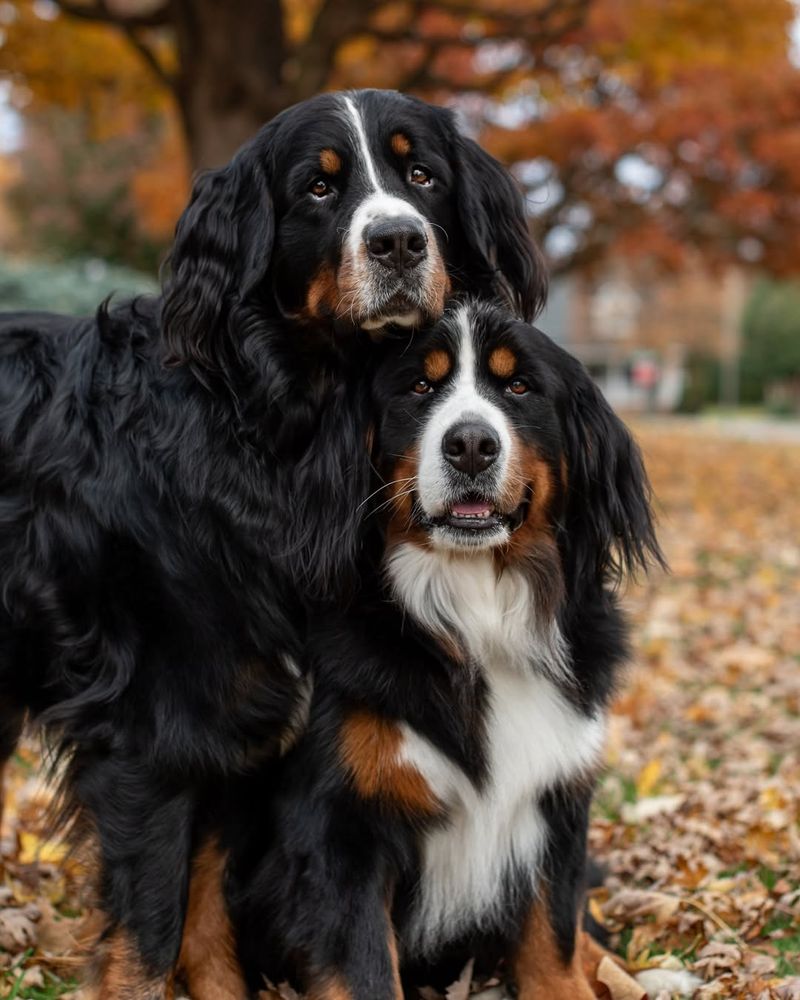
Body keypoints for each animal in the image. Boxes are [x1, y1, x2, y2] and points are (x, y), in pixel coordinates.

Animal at [0, 90, 544, 996]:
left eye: (423, 176)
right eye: (317, 189)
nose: (398, 240)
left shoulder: (246, 722)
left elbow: (208, 928)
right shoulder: (155, 733)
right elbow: (150, 940)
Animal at [198, 300, 664, 1000]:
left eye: (518, 386)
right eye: (419, 386)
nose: (470, 444)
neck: (475, 613)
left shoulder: (555, 804)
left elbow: (553, 939)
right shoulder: (340, 830)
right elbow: (366, 973)